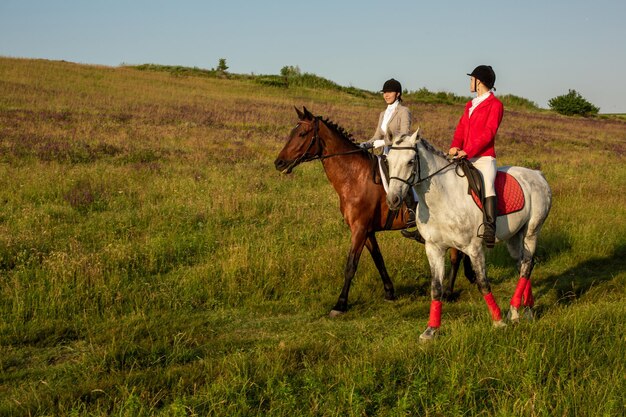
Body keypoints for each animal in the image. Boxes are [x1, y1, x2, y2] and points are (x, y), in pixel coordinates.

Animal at [272, 107, 468, 316]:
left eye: (302, 134)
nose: (279, 163)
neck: (354, 176)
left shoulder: (359, 229)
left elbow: (351, 265)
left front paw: (340, 304)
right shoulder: (366, 230)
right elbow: (378, 259)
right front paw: (389, 292)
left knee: (456, 256)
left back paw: (448, 293)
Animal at [382, 131, 548, 342]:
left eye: (411, 161)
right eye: (388, 161)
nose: (393, 200)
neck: (441, 199)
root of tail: (537, 174)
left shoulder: (474, 249)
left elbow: (483, 283)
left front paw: (498, 321)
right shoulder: (434, 248)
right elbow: (436, 288)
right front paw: (431, 330)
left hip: (531, 232)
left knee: (527, 266)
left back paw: (513, 310)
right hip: (514, 237)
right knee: (523, 265)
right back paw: (526, 310)